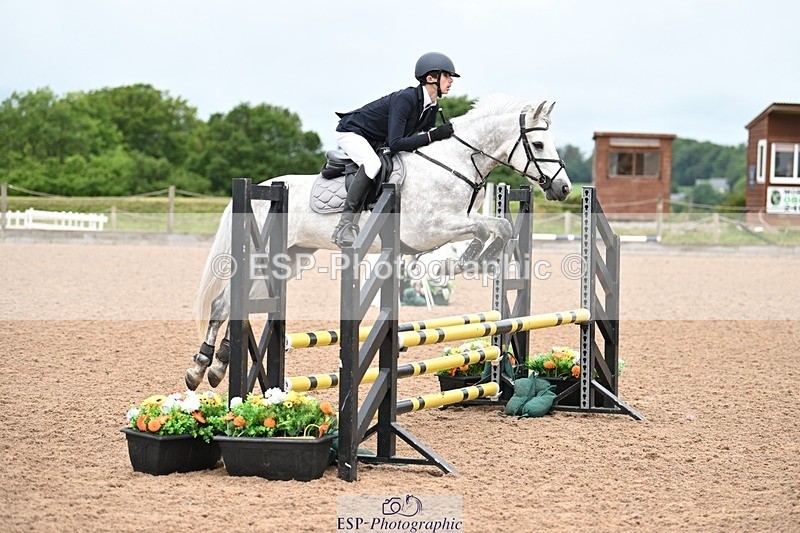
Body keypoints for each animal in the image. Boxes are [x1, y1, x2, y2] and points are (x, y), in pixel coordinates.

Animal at [185, 95, 572, 390]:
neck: (452, 164)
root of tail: (263, 188)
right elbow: (493, 226)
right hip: (259, 255)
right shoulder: (430, 228)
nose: (564, 188)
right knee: (223, 303)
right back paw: (201, 367)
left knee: (238, 304)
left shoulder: (445, 228)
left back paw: (217, 366)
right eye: (539, 144)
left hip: (289, 260)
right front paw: (476, 259)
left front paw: (475, 260)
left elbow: (496, 226)